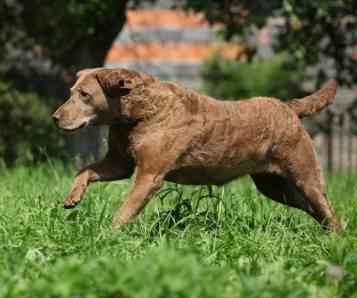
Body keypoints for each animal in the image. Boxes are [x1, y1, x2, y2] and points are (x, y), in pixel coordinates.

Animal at [51, 68, 340, 233]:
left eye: (85, 94)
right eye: (72, 92)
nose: (54, 117)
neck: (137, 114)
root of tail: (288, 107)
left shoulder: (149, 175)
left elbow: (125, 210)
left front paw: (107, 237)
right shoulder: (120, 164)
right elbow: (85, 170)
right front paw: (72, 197)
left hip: (305, 176)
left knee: (328, 211)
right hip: (276, 187)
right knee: (316, 211)